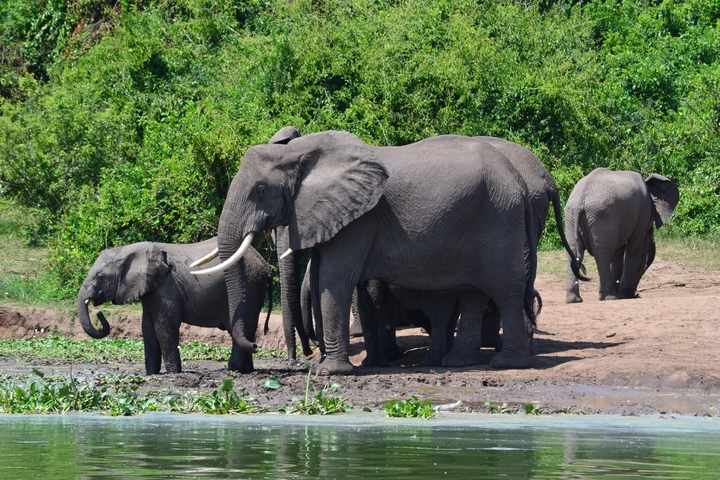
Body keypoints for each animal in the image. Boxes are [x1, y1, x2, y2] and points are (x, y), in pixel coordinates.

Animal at [77, 238, 272, 374]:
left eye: (100, 276)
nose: (100, 314)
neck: (130, 250)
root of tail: (266, 266)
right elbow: (147, 328)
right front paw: (151, 374)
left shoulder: (167, 287)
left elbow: (164, 326)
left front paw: (173, 373)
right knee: (247, 329)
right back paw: (246, 370)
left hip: (250, 285)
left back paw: (232, 370)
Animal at [192, 130, 539, 375]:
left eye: (262, 190)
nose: (257, 344)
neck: (298, 152)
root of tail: (520, 183)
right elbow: (322, 277)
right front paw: (324, 368)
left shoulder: (359, 219)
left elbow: (334, 279)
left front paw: (330, 373)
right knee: (473, 293)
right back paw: (459, 363)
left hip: (498, 220)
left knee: (505, 289)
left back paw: (507, 364)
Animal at [564, 168, 679, 302]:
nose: (637, 293)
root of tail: (580, 201)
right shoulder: (643, 213)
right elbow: (634, 248)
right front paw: (626, 295)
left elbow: (619, 251)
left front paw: (622, 294)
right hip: (602, 217)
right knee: (603, 255)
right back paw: (609, 297)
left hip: (571, 217)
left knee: (574, 253)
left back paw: (574, 300)